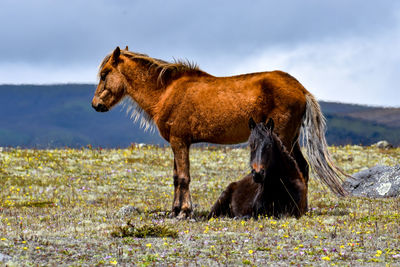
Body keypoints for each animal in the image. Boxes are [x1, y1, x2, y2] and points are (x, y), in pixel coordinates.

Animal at [92, 46, 348, 219]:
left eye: (104, 74)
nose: (96, 105)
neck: (167, 92)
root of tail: (301, 88)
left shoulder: (180, 142)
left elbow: (183, 177)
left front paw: (184, 211)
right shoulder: (176, 143)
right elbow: (176, 178)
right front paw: (175, 210)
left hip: (282, 137)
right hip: (291, 139)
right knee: (303, 168)